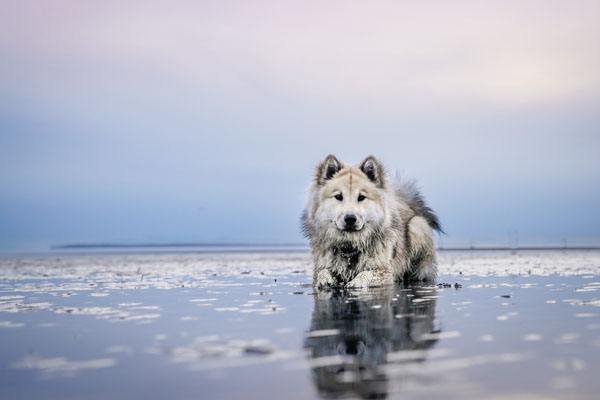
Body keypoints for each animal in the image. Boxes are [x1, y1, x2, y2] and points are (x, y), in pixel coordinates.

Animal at [302, 154, 442, 288]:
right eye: (338, 196)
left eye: (361, 197)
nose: (350, 218)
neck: (349, 248)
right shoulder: (322, 265)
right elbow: (322, 272)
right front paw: (325, 280)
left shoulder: (383, 270)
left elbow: (366, 274)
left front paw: (355, 282)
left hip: (417, 226)